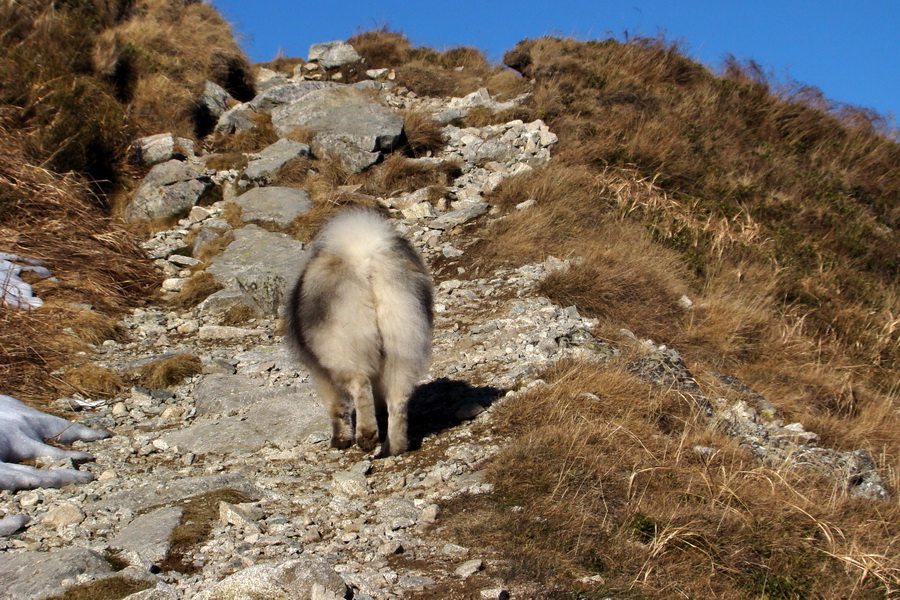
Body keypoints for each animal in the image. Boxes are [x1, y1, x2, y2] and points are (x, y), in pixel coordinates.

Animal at [284, 206, 432, 454]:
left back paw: (366, 436)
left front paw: (340, 440)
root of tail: (366, 261)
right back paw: (394, 447)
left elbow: (337, 406)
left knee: (360, 384)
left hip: (341, 348)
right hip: (402, 342)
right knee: (398, 400)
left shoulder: (320, 373)